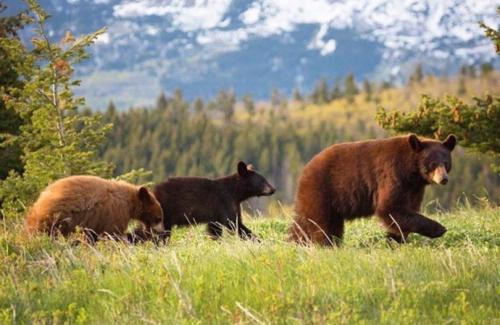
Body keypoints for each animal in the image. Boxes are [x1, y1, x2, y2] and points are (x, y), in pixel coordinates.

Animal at [25, 175, 163, 240]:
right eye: (159, 218)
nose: (161, 232)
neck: (129, 202)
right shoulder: (115, 213)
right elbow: (112, 233)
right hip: (54, 219)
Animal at [290, 133, 458, 244]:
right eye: (432, 164)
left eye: (446, 163)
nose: (444, 179)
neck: (410, 171)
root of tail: (305, 170)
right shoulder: (392, 174)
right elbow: (390, 208)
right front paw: (439, 228)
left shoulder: (414, 188)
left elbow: (407, 210)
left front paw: (395, 239)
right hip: (322, 191)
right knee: (320, 223)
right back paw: (324, 244)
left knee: (307, 223)